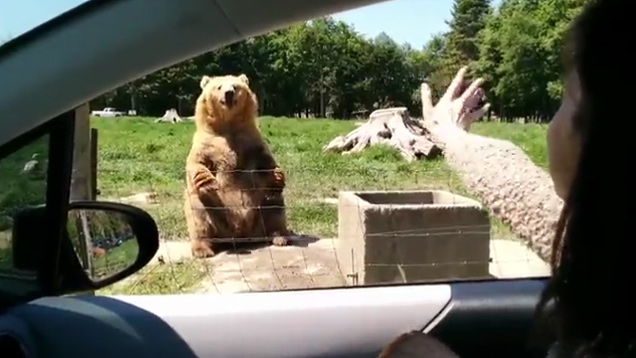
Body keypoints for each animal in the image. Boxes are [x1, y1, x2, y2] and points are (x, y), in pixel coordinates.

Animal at [184, 73, 294, 258]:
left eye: (235, 86)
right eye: (219, 86)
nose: (229, 93)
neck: (228, 126)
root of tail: (240, 236)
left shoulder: (251, 141)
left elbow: (266, 162)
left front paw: (277, 177)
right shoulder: (207, 144)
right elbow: (197, 164)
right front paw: (209, 183)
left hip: (260, 208)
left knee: (275, 207)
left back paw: (280, 236)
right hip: (213, 212)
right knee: (199, 215)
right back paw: (203, 249)